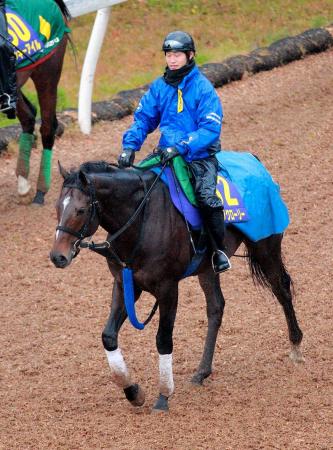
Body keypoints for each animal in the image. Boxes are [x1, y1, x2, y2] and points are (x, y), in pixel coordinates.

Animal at [50, 160, 304, 414]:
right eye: (57, 207)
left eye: (80, 210)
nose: (57, 256)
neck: (141, 220)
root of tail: (257, 163)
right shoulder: (125, 284)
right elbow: (109, 336)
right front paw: (133, 392)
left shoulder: (168, 288)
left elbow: (163, 339)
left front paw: (163, 396)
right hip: (207, 267)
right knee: (216, 307)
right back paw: (202, 371)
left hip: (265, 246)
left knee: (282, 289)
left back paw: (296, 347)